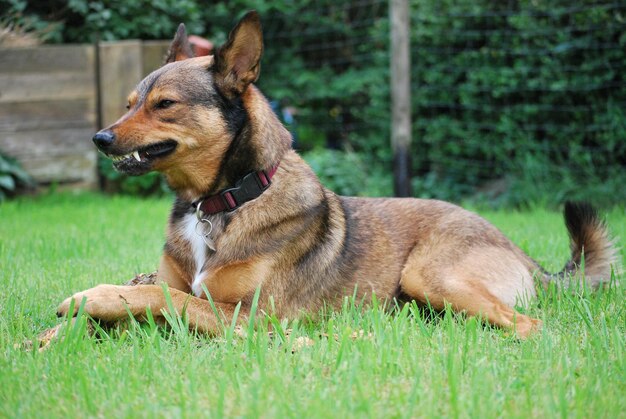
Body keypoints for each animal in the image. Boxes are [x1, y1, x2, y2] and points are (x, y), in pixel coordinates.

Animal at [56, 11, 616, 340]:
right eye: (130, 103)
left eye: (165, 105)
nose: (100, 139)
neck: (226, 200)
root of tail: (520, 252)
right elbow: (153, 296)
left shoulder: (255, 317)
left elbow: (160, 296)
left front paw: (91, 297)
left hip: (431, 275)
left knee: (530, 325)